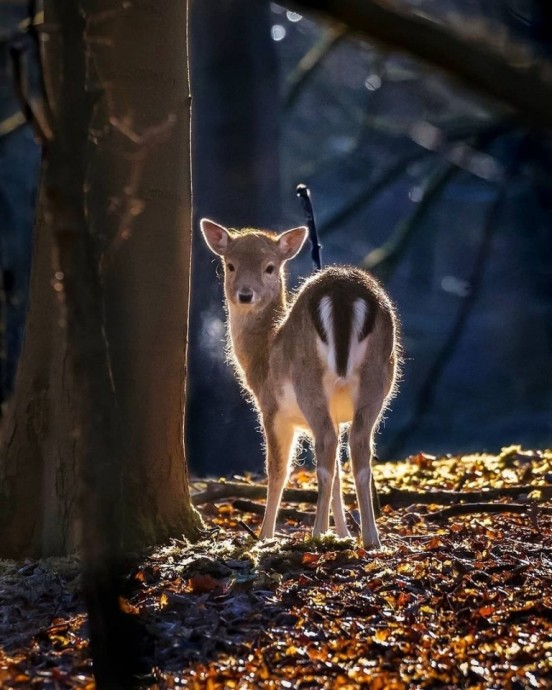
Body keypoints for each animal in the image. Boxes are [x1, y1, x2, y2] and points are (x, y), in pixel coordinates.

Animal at [201, 218, 398, 544]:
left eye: (270, 267)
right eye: (230, 265)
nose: (245, 295)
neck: (263, 353)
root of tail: (343, 293)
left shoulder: (272, 408)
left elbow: (278, 470)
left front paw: (264, 537)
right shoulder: (337, 415)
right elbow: (338, 472)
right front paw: (343, 533)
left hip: (308, 380)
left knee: (326, 449)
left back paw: (316, 534)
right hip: (379, 378)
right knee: (358, 451)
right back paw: (370, 538)